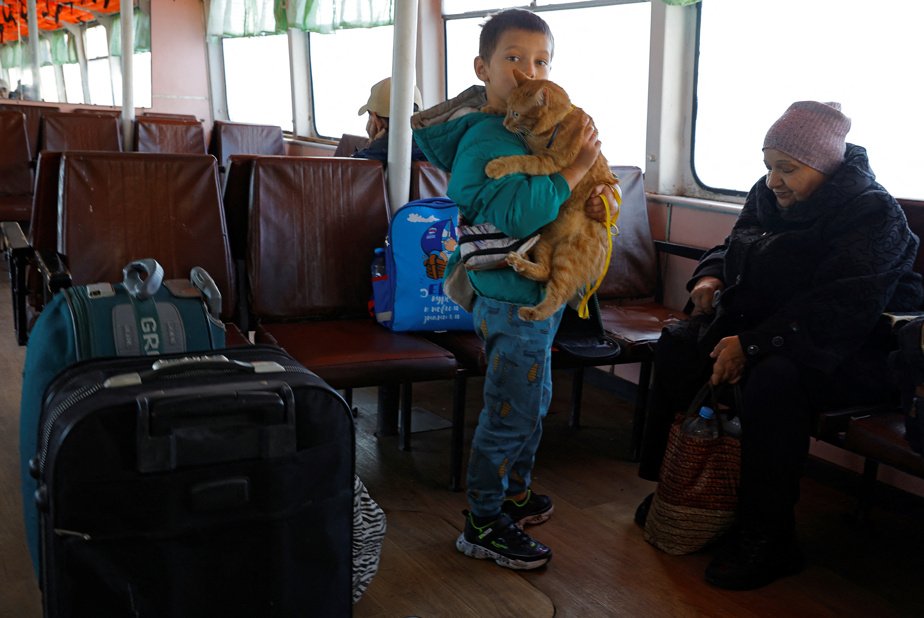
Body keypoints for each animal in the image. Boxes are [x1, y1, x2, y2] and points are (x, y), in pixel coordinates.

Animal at [480, 71, 616, 322]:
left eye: (516, 113)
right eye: (509, 108)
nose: (504, 123)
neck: (555, 126)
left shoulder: (548, 162)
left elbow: (521, 160)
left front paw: (497, 166)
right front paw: (491, 108)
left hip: (567, 258)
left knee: (557, 295)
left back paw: (532, 312)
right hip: (545, 242)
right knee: (545, 272)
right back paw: (519, 263)